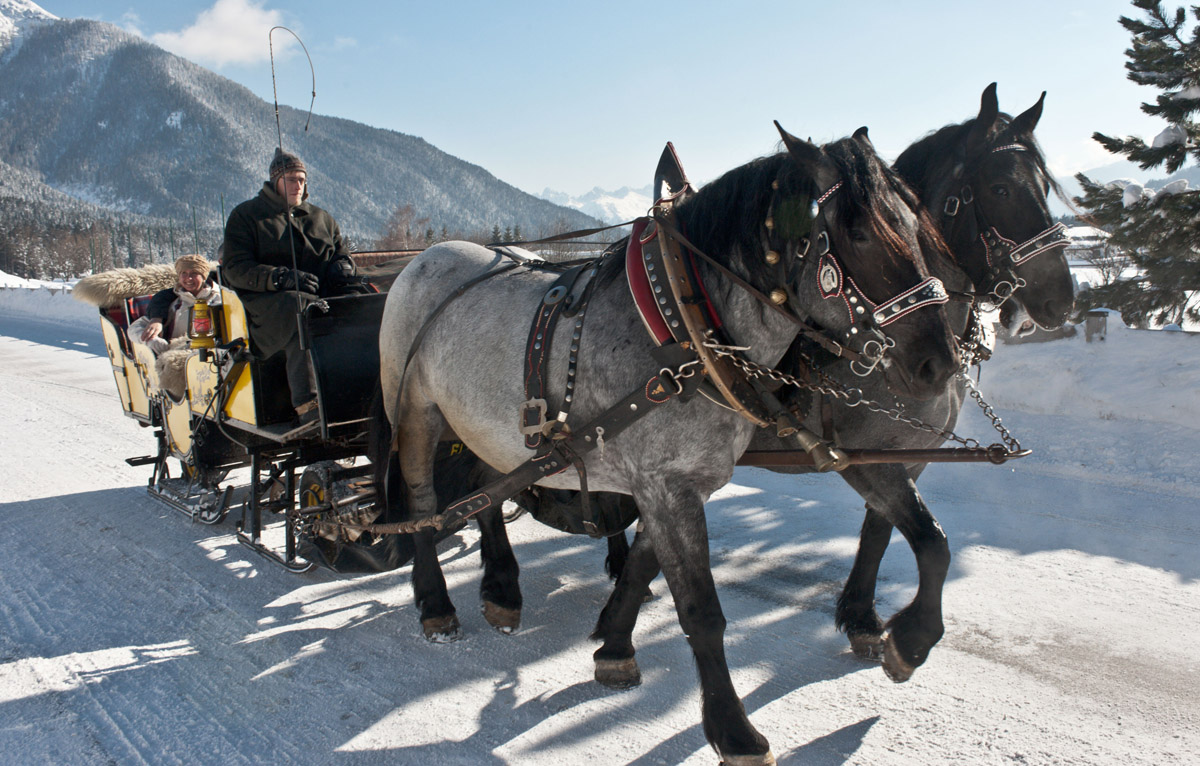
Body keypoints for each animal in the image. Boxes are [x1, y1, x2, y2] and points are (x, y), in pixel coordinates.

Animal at [379, 127, 960, 766]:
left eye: (916, 224)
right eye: (857, 231)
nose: (938, 364)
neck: (686, 322)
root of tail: (424, 257)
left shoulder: (699, 480)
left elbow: (932, 541)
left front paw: (909, 642)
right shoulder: (667, 485)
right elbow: (701, 611)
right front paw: (734, 730)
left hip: (492, 432)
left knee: (484, 492)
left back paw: (502, 589)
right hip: (415, 412)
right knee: (423, 505)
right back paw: (437, 604)